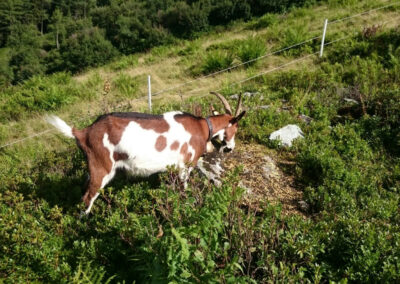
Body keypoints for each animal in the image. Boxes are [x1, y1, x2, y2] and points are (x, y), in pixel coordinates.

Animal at [45, 92, 245, 214]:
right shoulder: (185, 166)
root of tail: (83, 132)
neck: (203, 127)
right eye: (235, 127)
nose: (230, 147)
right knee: (88, 197)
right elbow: (184, 189)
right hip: (101, 168)